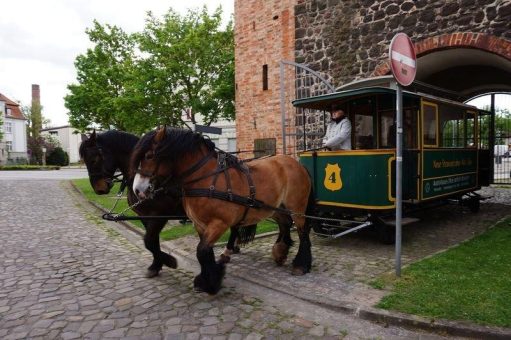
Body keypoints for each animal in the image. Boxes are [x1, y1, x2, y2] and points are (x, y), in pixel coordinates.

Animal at [79, 130, 254, 278]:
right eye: (84, 161)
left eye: (95, 159)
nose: (99, 188)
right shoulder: (145, 216)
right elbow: (152, 242)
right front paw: (156, 265)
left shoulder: (159, 216)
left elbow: (149, 241)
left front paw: (168, 261)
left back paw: (227, 251)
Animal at [131, 126, 316, 294]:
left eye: (149, 155)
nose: (138, 190)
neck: (206, 179)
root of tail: (296, 163)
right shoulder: (199, 224)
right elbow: (205, 252)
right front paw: (206, 278)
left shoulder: (219, 223)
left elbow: (201, 251)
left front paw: (213, 281)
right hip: (275, 208)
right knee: (285, 224)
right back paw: (280, 252)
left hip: (297, 207)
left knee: (302, 231)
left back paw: (301, 264)